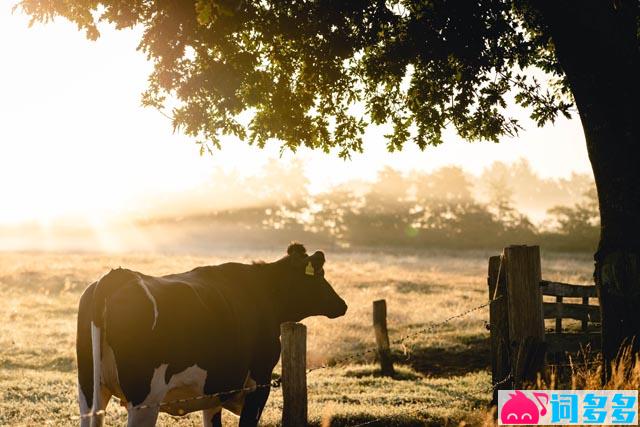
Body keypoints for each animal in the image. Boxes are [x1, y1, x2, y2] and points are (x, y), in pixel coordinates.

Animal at [77, 244, 348, 427]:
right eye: (320, 275)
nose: (342, 305)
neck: (263, 293)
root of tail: (117, 275)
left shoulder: (215, 392)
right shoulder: (258, 384)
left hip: (90, 392)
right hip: (144, 399)